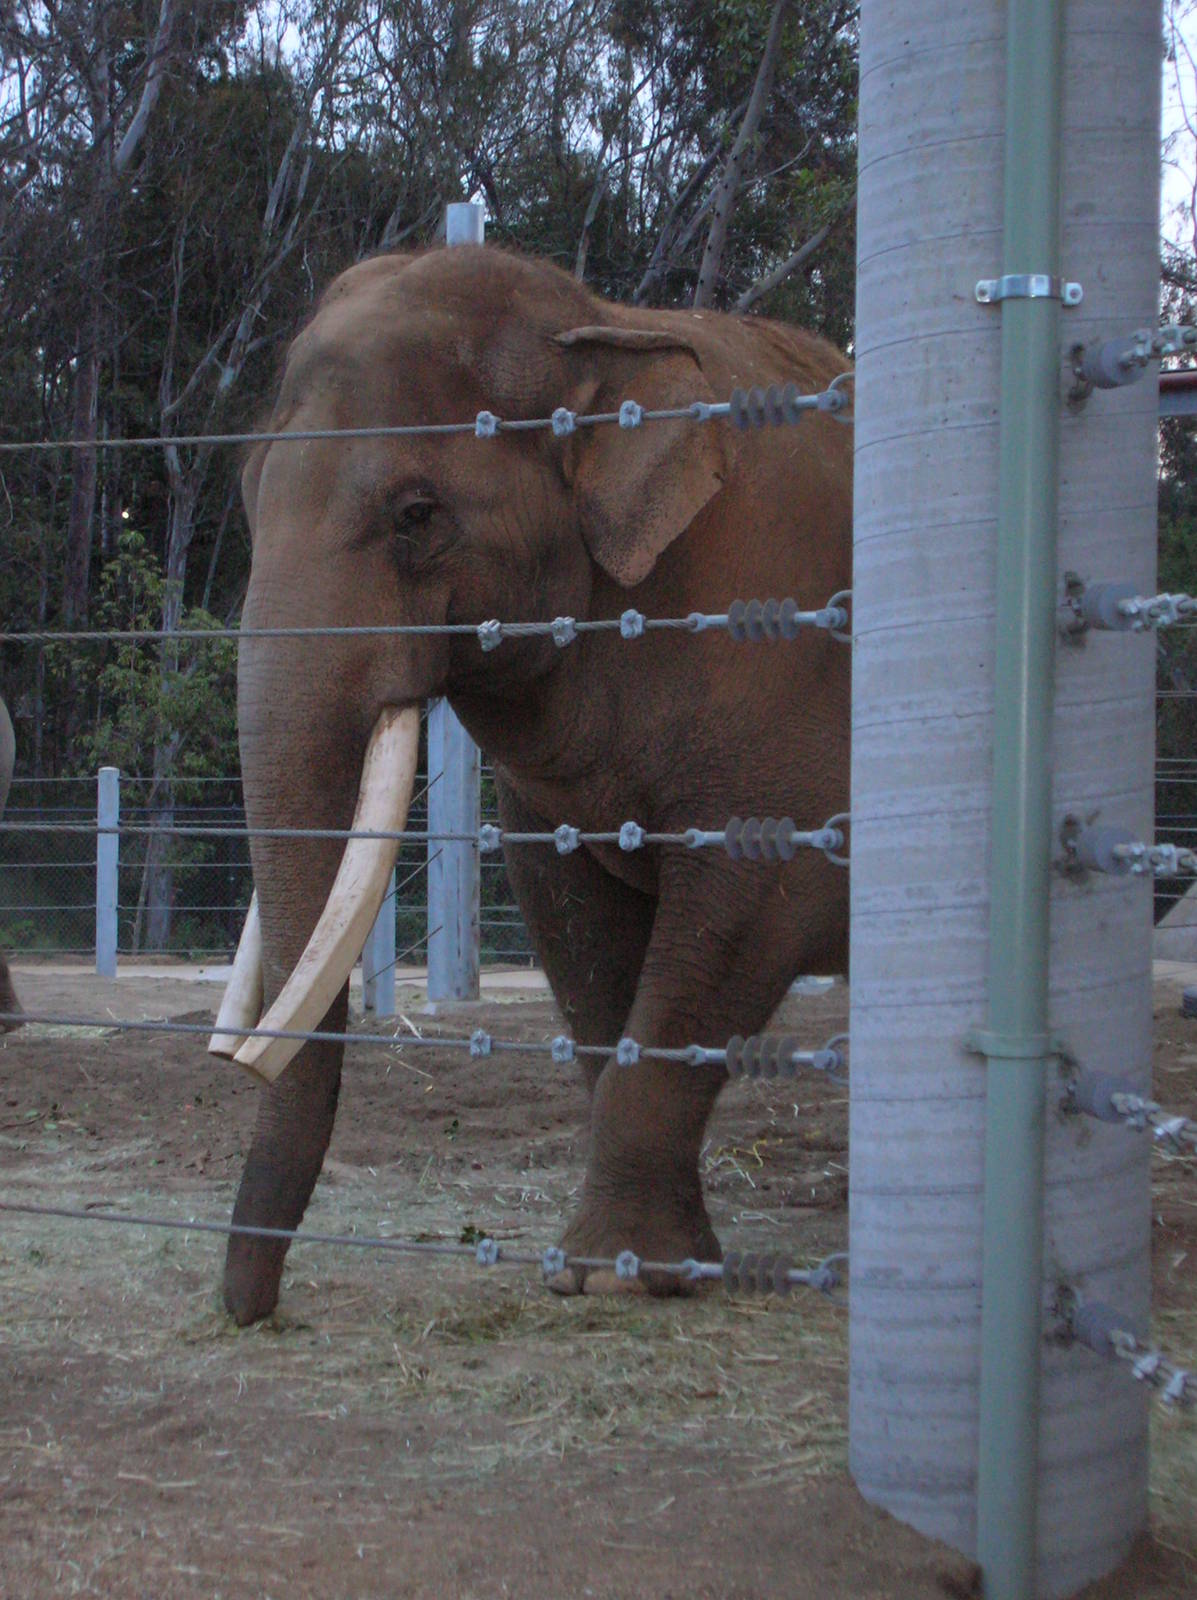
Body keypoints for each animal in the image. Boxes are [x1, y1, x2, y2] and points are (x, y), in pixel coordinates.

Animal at [212, 244, 851, 1326]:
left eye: (415, 515)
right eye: (250, 497)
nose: (247, 1310)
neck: (602, 327)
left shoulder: (785, 654)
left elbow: (752, 907)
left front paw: (610, 1272)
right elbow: (575, 925)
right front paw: (641, 1266)